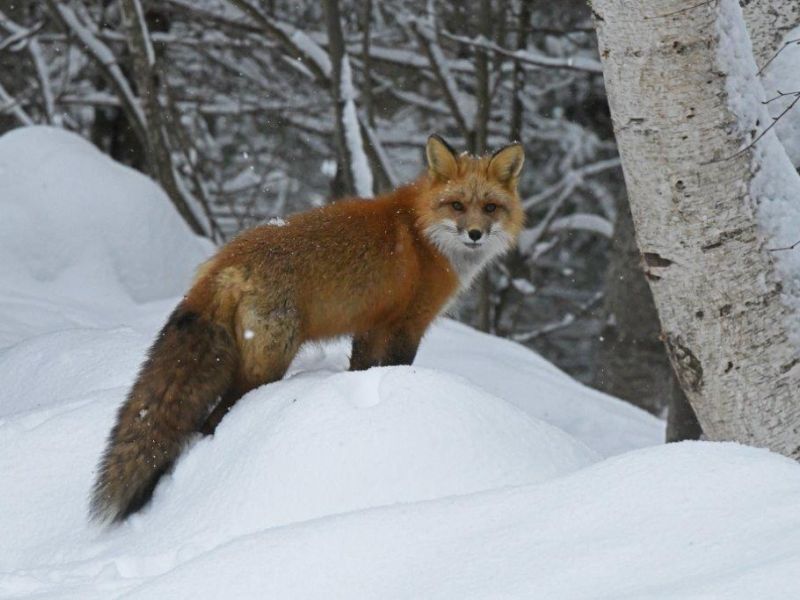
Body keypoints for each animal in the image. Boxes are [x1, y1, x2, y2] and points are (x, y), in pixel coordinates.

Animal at [90, 134, 525, 524]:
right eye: (457, 205)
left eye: (490, 207)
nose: (475, 234)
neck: (422, 234)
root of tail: (225, 261)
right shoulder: (408, 324)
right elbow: (396, 368)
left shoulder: (370, 326)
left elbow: (362, 370)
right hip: (267, 364)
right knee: (213, 419)